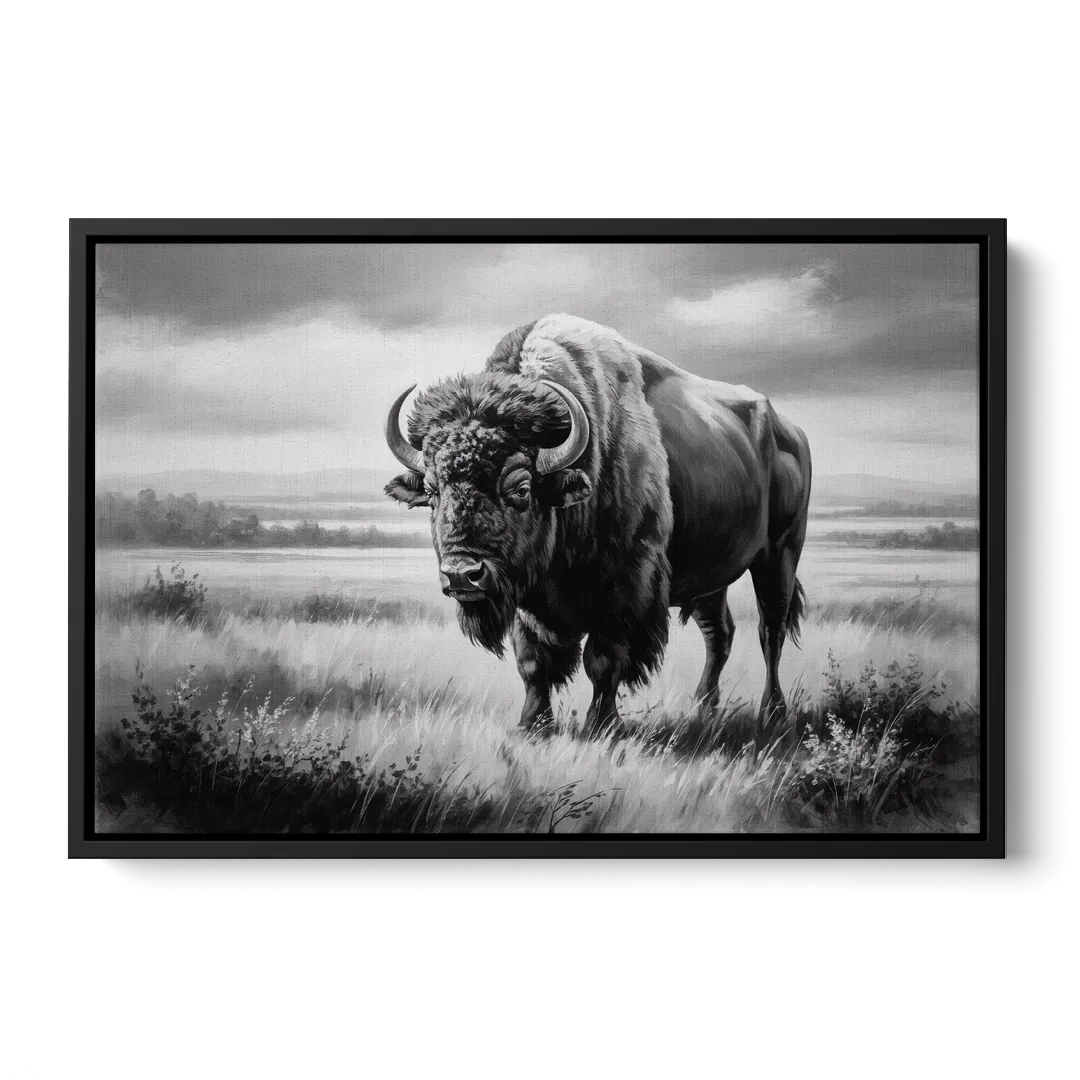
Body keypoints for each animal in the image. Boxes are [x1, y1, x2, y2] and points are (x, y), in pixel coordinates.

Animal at [385, 314, 812, 745]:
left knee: (770, 629)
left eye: (521, 488)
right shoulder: (529, 598)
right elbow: (532, 662)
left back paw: (772, 713)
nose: (462, 574)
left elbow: (603, 660)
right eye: (432, 492)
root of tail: (791, 432)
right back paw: (704, 709)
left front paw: (602, 726)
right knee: (719, 633)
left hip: (780, 554)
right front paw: (532, 725)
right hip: (712, 577)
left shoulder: (625, 586)